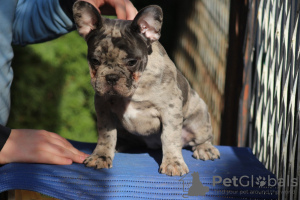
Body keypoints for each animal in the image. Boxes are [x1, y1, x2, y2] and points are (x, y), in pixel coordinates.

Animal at [72, 1, 218, 177]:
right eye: (94, 60)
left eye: (132, 62)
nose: (111, 77)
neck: (136, 88)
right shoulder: (103, 107)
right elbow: (106, 135)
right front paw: (101, 156)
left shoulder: (170, 108)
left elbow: (170, 136)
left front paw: (173, 163)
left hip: (199, 115)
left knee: (202, 136)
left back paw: (205, 148)